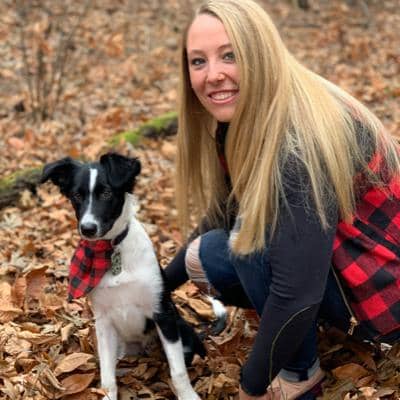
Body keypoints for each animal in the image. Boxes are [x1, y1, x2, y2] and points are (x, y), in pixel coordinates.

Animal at [41, 153, 205, 400]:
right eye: (77, 196)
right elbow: (107, 377)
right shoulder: (104, 322)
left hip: (181, 330)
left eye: (107, 193)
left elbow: (178, 372)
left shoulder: (163, 313)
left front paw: (188, 396)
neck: (110, 250)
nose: (87, 228)